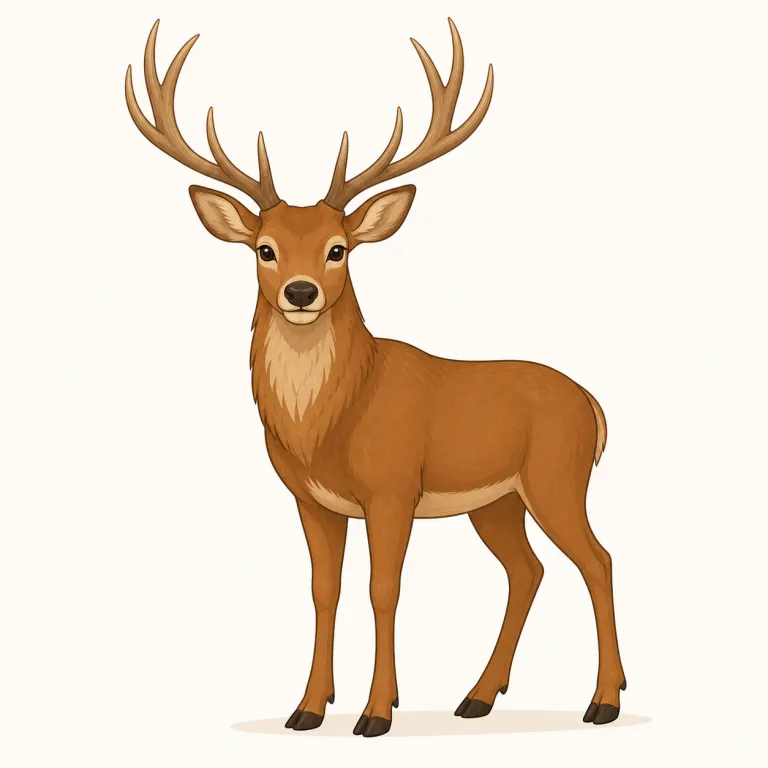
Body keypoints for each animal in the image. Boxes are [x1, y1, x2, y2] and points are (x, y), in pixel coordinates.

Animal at [125, 18, 627, 737]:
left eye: (338, 249)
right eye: (265, 249)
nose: (301, 291)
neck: (330, 423)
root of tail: (592, 404)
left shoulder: (391, 489)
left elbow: (382, 590)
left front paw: (375, 711)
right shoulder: (310, 499)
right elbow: (323, 591)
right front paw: (308, 707)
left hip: (558, 477)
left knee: (598, 560)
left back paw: (603, 701)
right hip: (497, 502)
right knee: (528, 571)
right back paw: (477, 696)